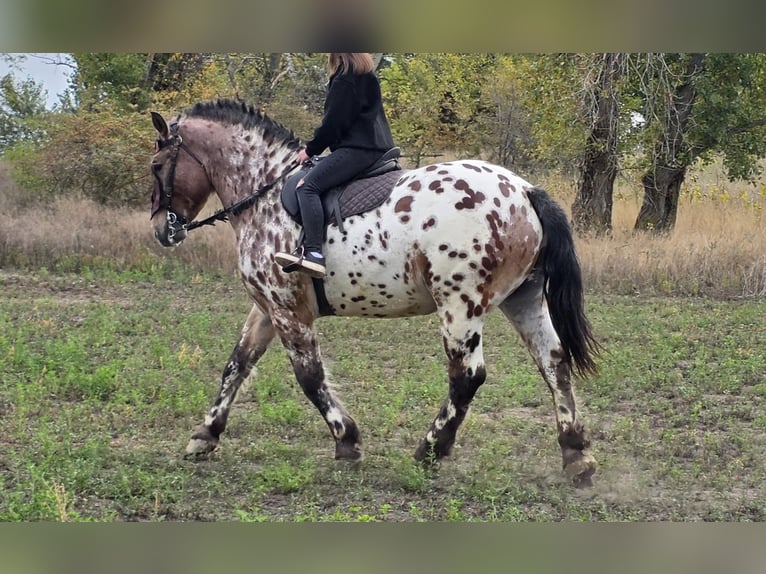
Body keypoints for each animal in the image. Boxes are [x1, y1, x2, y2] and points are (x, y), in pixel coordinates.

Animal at [149, 99, 600, 486]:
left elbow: (309, 377)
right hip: (523, 299)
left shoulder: (288, 310)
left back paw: (430, 450)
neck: (266, 194)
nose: (161, 230)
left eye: (156, 165)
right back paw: (576, 454)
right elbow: (237, 365)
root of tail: (525, 191)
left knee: (467, 376)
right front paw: (205, 435)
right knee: (554, 362)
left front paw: (347, 441)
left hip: (460, 306)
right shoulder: (268, 307)